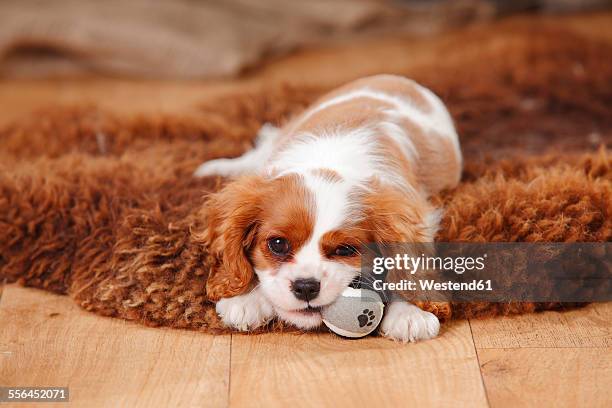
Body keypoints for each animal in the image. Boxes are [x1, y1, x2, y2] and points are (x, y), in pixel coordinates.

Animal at [194, 74, 462, 342]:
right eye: (278, 244)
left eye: (344, 249)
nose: (305, 286)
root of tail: (395, 78)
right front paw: (246, 298)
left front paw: (410, 313)